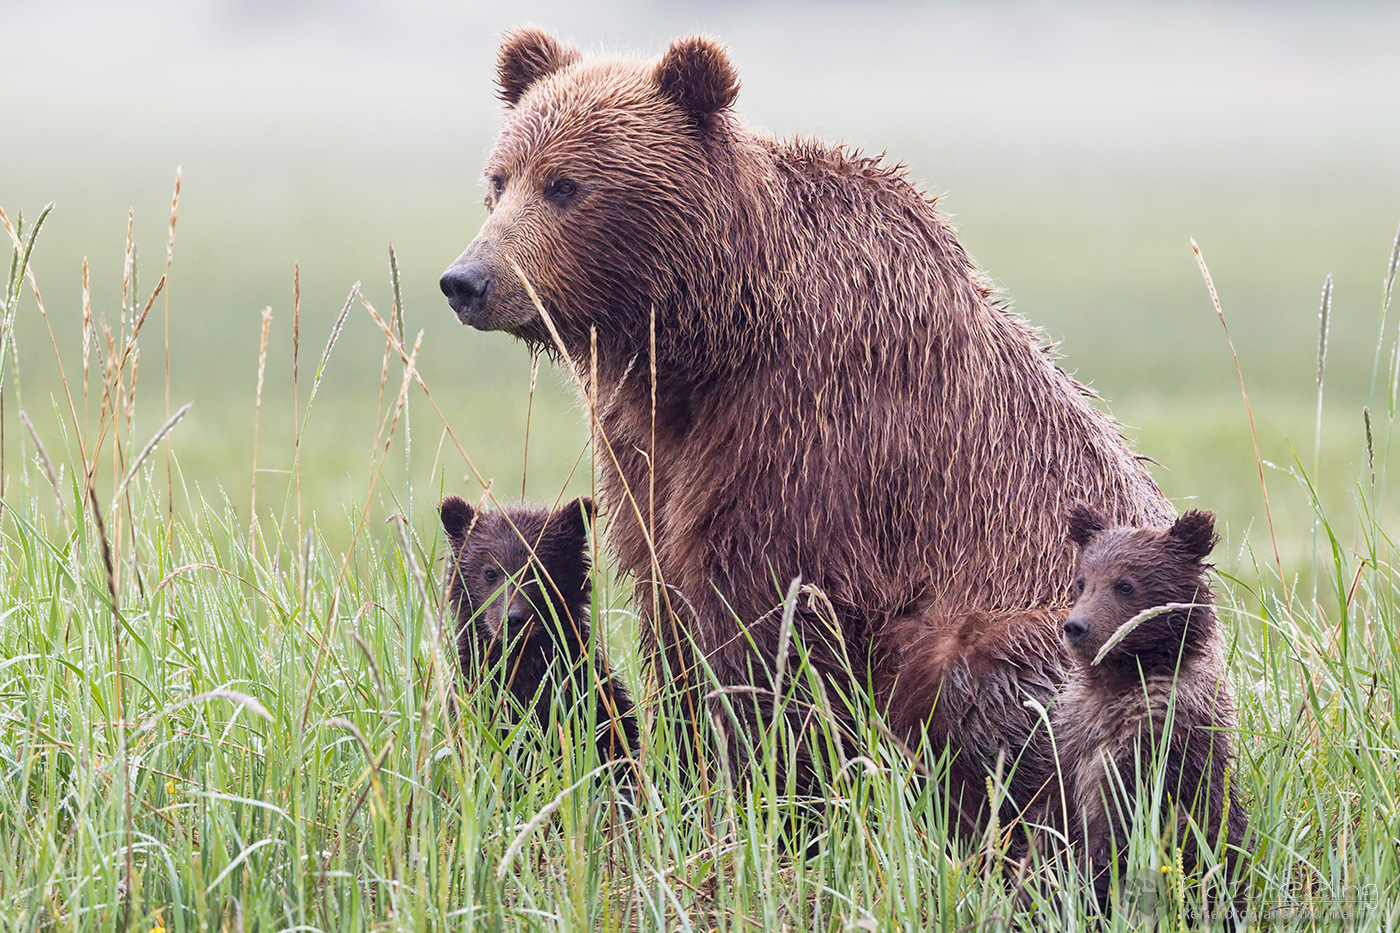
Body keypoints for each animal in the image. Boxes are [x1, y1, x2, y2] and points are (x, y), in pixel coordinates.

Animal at [1050, 504, 1247, 907]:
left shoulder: (1160, 738)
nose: (1075, 626)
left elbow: (1119, 821)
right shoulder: (1076, 733)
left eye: (1125, 584)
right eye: (1081, 582)